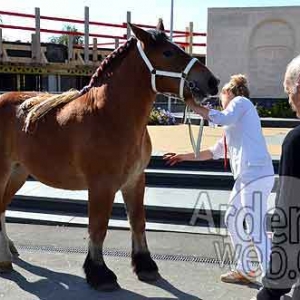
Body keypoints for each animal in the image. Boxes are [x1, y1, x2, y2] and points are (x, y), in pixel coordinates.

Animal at [0, 21, 219, 290]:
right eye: (168, 53)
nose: (212, 81)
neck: (109, 115)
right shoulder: (101, 185)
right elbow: (98, 227)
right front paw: (99, 273)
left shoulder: (135, 180)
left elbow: (137, 221)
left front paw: (145, 265)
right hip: (4, 171)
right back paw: (4, 259)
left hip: (18, 172)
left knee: (1, 209)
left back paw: (8, 251)